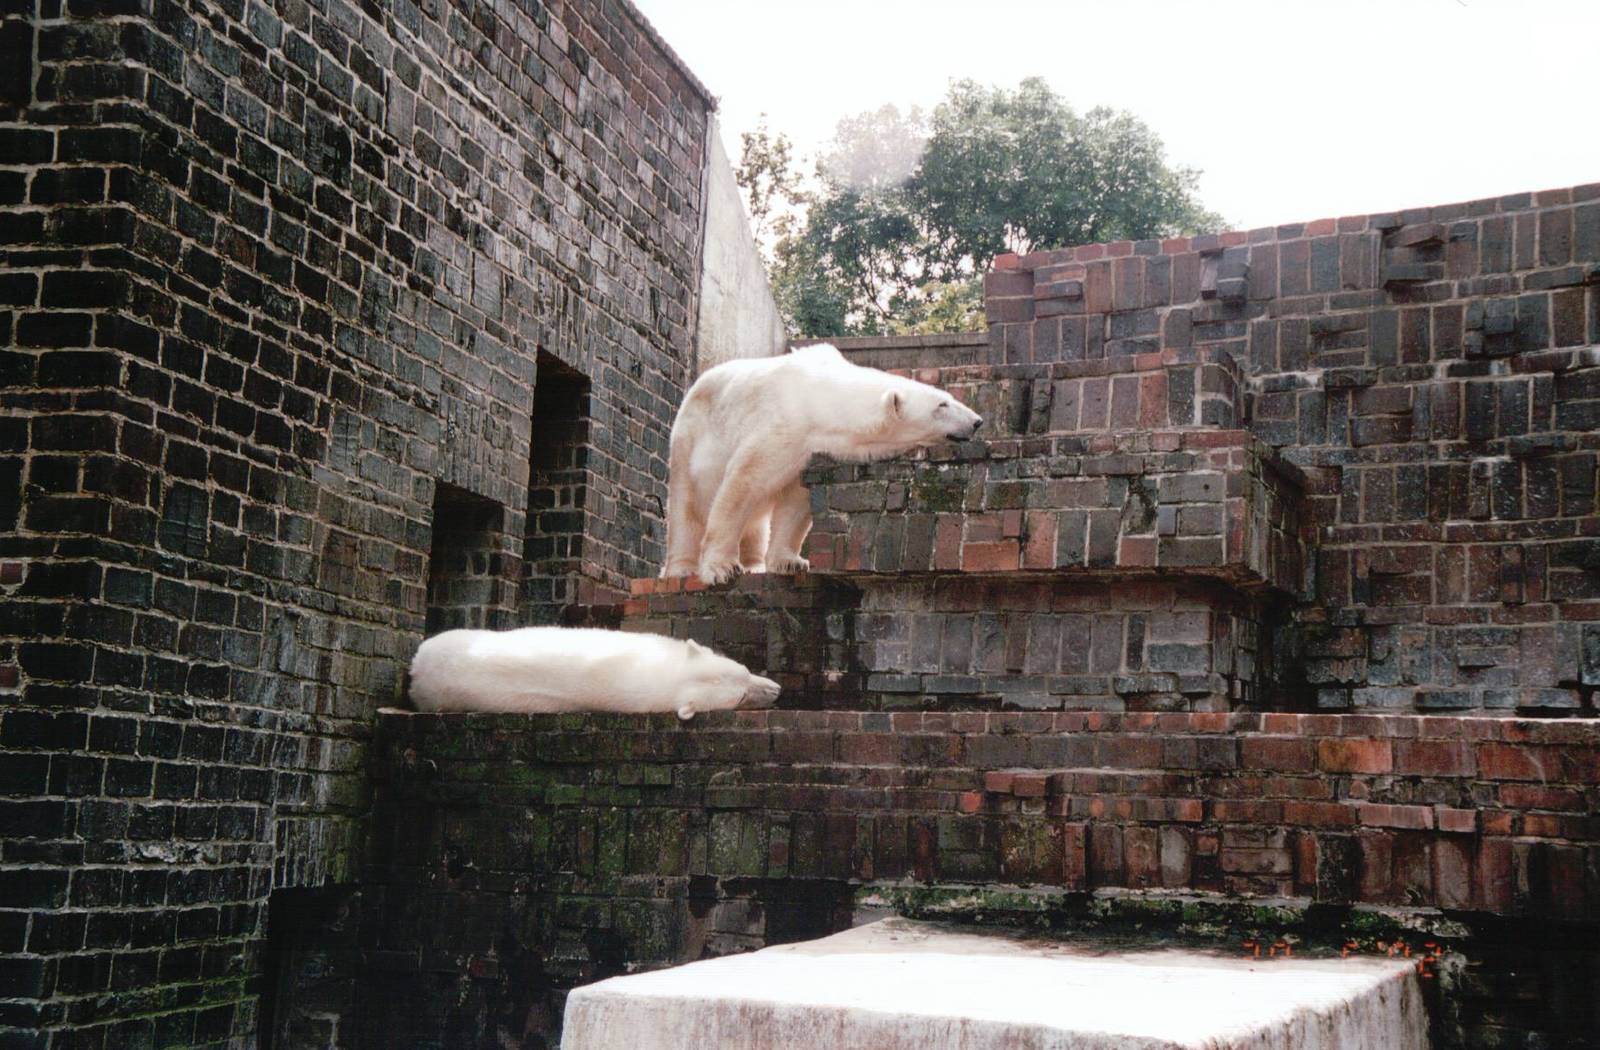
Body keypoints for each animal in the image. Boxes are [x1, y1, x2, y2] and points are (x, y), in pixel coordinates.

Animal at [662, 343, 982, 584]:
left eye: (948, 397)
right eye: (942, 405)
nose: (977, 421)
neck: (817, 396)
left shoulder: (809, 448)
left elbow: (796, 501)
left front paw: (790, 562)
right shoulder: (781, 427)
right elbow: (743, 485)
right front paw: (721, 569)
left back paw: (753, 564)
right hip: (687, 439)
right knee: (685, 504)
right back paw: (681, 568)